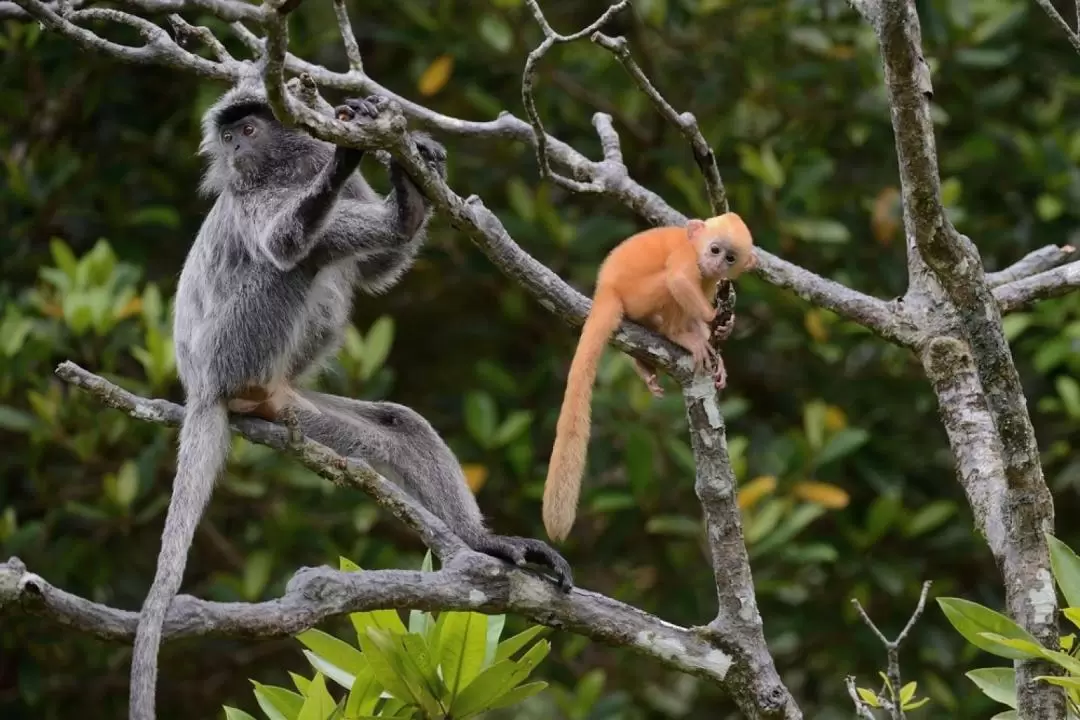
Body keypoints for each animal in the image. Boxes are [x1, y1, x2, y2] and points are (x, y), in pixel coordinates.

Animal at [128, 80, 574, 720]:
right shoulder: (251, 198)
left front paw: (412, 175)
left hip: (301, 408)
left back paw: (484, 543)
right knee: (295, 258)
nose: (234, 149)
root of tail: (201, 388)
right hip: (230, 352)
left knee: (399, 424)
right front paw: (349, 162)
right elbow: (284, 240)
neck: (284, 171)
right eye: (230, 134)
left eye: (249, 130)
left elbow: (376, 271)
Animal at [544, 212, 756, 539]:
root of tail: (606, 288)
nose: (717, 264)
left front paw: (720, 345)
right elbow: (679, 279)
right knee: (669, 285)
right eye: (714, 249)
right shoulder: (686, 256)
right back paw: (678, 336)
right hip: (638, 294)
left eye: (730, 257)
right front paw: (712, 323)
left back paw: (647, 362)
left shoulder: (712, 280)